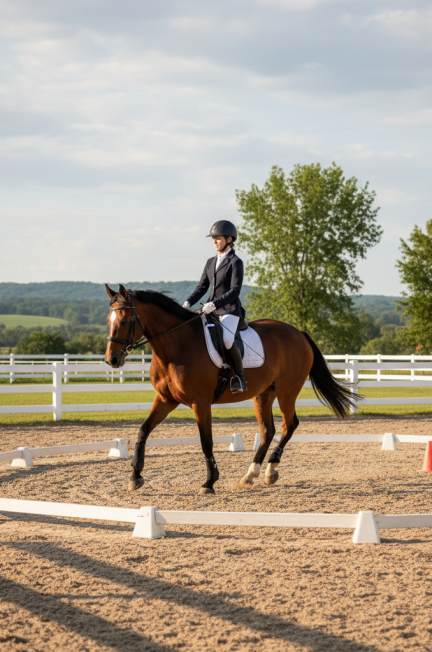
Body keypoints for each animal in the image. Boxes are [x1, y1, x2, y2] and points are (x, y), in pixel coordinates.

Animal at [104, 284, 358, 494]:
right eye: (108, 319)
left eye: (125, 321)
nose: (112, 360)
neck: (176, 346)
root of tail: (299, 333)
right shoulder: (166, 399)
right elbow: (143, 431)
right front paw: (135, 476)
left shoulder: (200, 402)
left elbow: (206, 441)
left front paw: (209, 482)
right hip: (264, 394)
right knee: (268, 431)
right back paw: (251, 474)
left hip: (287, 391)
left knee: (290, 424)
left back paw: (271, 469)